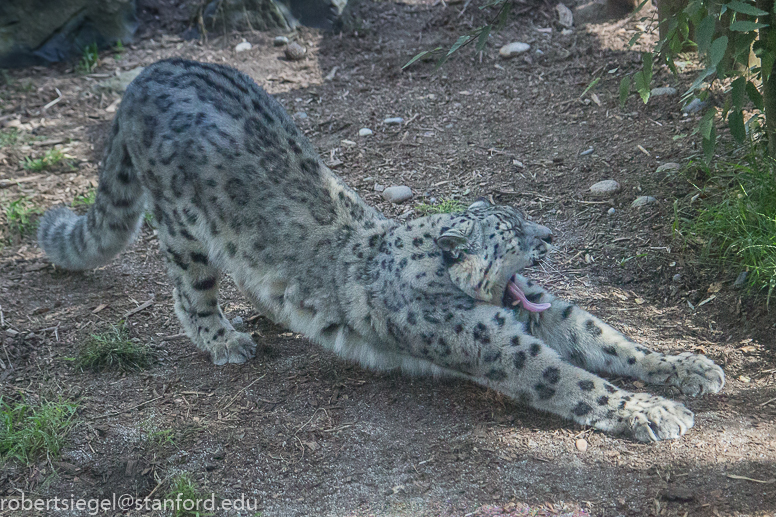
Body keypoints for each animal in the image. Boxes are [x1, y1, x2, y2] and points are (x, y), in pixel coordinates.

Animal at [38, 58, 724, 442]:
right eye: (513, 233)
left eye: (523, 218)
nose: (551, 237)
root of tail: (147, 73)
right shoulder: (496, 342)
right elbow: (568, 378)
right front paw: (652, 412)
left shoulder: (541, 309)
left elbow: (601, 336)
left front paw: (688, 368)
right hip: (183, 232)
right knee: (188, 292)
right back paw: (226, 338)